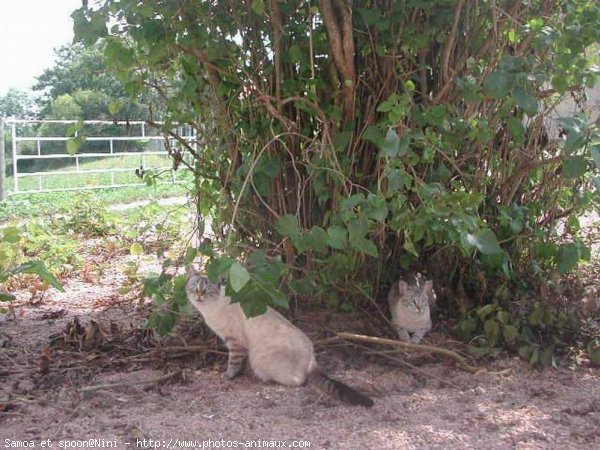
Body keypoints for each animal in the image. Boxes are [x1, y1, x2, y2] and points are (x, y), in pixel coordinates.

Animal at [186, 268, 376, 408]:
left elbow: (233, 364)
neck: (209, 310)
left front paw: (228, 376)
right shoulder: (239, 345)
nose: (199, 295)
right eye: (195, 287)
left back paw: (265, 379)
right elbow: (240, 365)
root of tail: (312, 359)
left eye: (206, 289)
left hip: (261, 359)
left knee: (299, 381)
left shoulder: (235, 343)